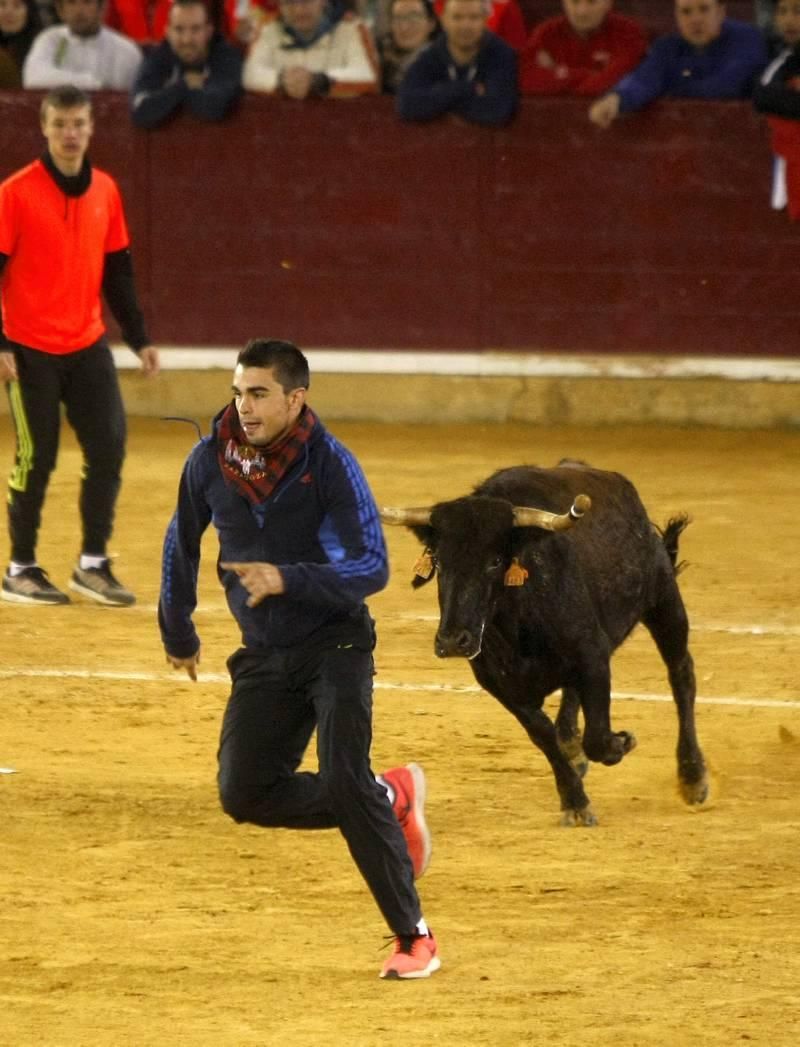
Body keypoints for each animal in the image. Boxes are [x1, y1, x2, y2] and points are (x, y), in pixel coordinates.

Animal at [381, 462, 707, 820]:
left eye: (495, 561)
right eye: (439, 562)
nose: (453, 641)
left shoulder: (593, 657)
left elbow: (597, 735)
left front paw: (622, 742)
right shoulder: (499, 685)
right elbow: (543, 735)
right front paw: (575, 801)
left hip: (664, 601)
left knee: (681, 675)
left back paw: (693, 777)